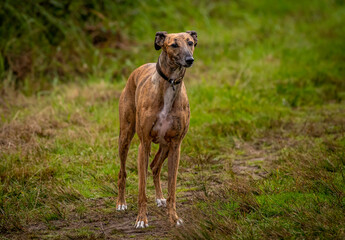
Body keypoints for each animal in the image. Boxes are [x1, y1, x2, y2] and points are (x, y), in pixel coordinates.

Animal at [115, 31, 196, 228]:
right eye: (174, 45)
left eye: (190, 42)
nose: (189, 60)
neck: (170, 84)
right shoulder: (144, 145)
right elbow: (141, 190)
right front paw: (141, 220)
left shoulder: (176, 146)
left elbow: (172, 189)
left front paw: (174, 217)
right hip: (125, 137)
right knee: (122, 172)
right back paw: (121, 202)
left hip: (165, 146)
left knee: (155, 167)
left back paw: (159, 198)